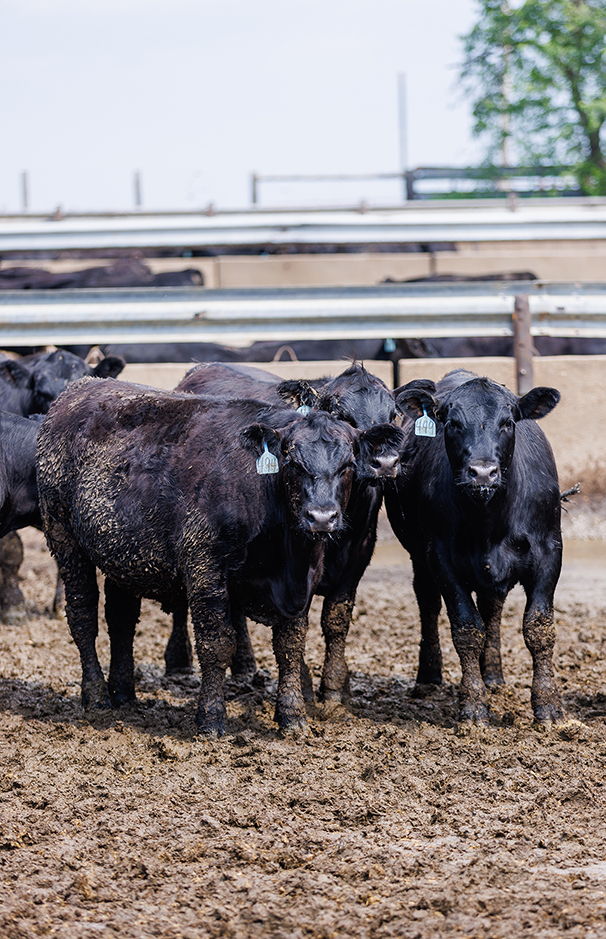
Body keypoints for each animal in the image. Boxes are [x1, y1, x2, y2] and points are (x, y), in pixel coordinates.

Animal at [37, 378, 398, 736]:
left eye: (348, 465)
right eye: (292, 463)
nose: (321, 517)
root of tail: (78, 389)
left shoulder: (304, 579)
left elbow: (291, 645)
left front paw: (292, 716)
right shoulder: (205, 567)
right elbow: (217, 643)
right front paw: (210, 717)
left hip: (123, 557)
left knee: (121, 619)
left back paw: (124, 693)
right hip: (64, 538)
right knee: (83, 615)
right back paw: (96, 696)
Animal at [384, 369, 564, 727]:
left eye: (508, 422)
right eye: (452, 423)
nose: (482, 472)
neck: (490, 520)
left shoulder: (550, 552)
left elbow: (538, 628)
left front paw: (547, 706)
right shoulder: (440, 558)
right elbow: (467, 629)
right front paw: (473, 706)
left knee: (492, 609)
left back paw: (493, 675)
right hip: (419, 556)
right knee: (428, 603)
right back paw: (429, 678)